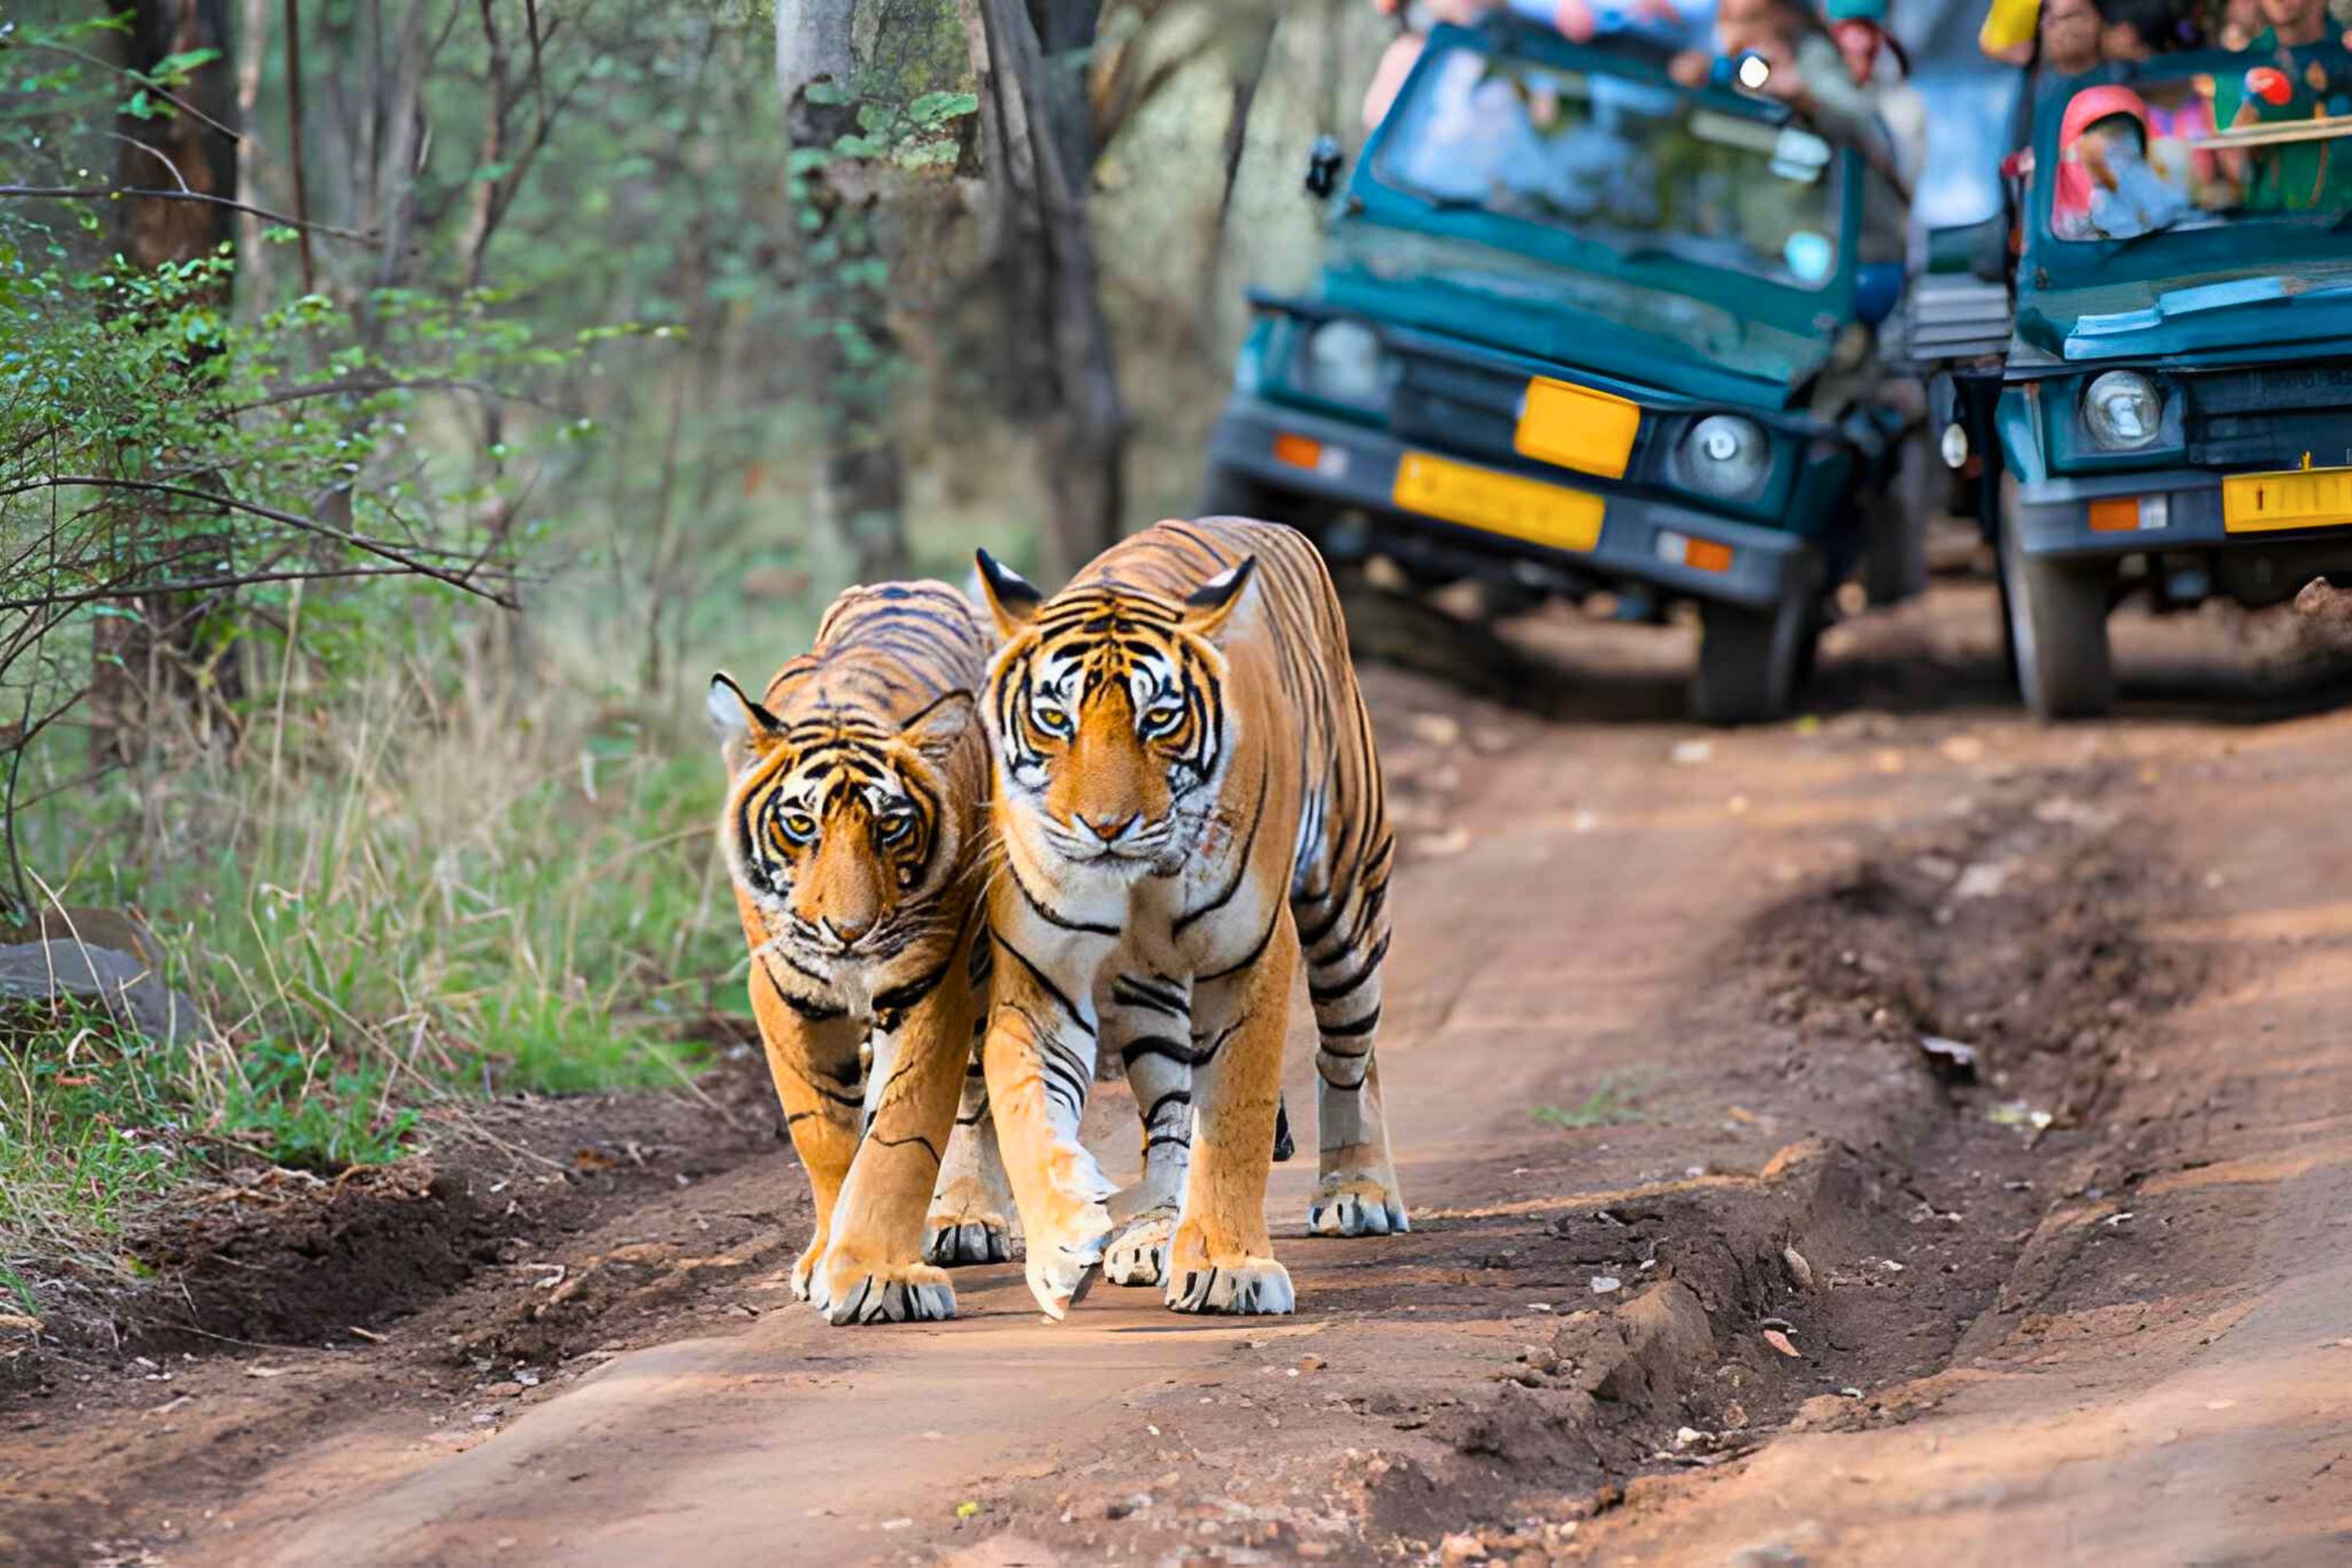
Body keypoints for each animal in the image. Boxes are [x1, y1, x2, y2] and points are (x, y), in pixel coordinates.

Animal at [709, 580, 1017, 1325]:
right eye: (800, 823)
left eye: (891, 825)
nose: (848, 930)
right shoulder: (784, 990)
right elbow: (823, 1132)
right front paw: (826, 1258)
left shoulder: (935, 982)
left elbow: (900, 1136)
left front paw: (880, 1275)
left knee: (972, 1090)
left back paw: (967, 1216)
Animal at [972, 517, 1407, 1319]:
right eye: (1054, 719)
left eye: (1160, 719)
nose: (1105, 827)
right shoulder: (1042, 979)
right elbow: (1026, 1110)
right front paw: (1063, 1246)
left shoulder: (1249, 959)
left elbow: (1233, 1117)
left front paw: (1228, 1268)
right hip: (1150, 995)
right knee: (1171, 1114)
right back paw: (1151, 1234)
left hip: (1347, 903)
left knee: (1349, 1054)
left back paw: (1358, 1191)